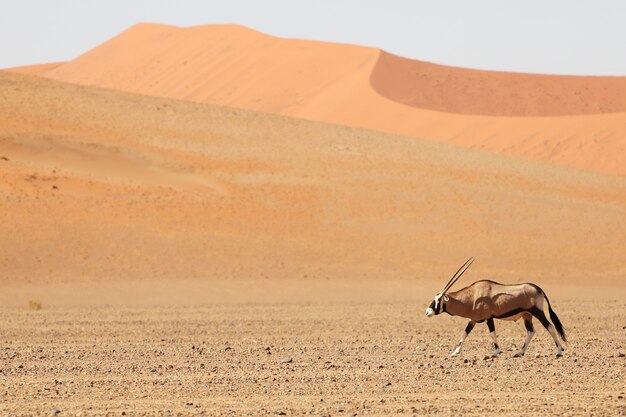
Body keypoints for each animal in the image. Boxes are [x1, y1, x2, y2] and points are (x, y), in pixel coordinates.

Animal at [424, 256, 564, 358]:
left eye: (439, 300)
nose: (427, 312)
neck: (473, 296)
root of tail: (538, 289)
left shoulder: (488, 317)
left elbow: (492, 333)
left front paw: (496, 352)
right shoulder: (473, 319)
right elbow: (464, 333)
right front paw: (454, 352)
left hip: (537, 312)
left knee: (550, 327)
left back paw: (559, 351)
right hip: (526, 315)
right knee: (531, 331)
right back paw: (519, 353)